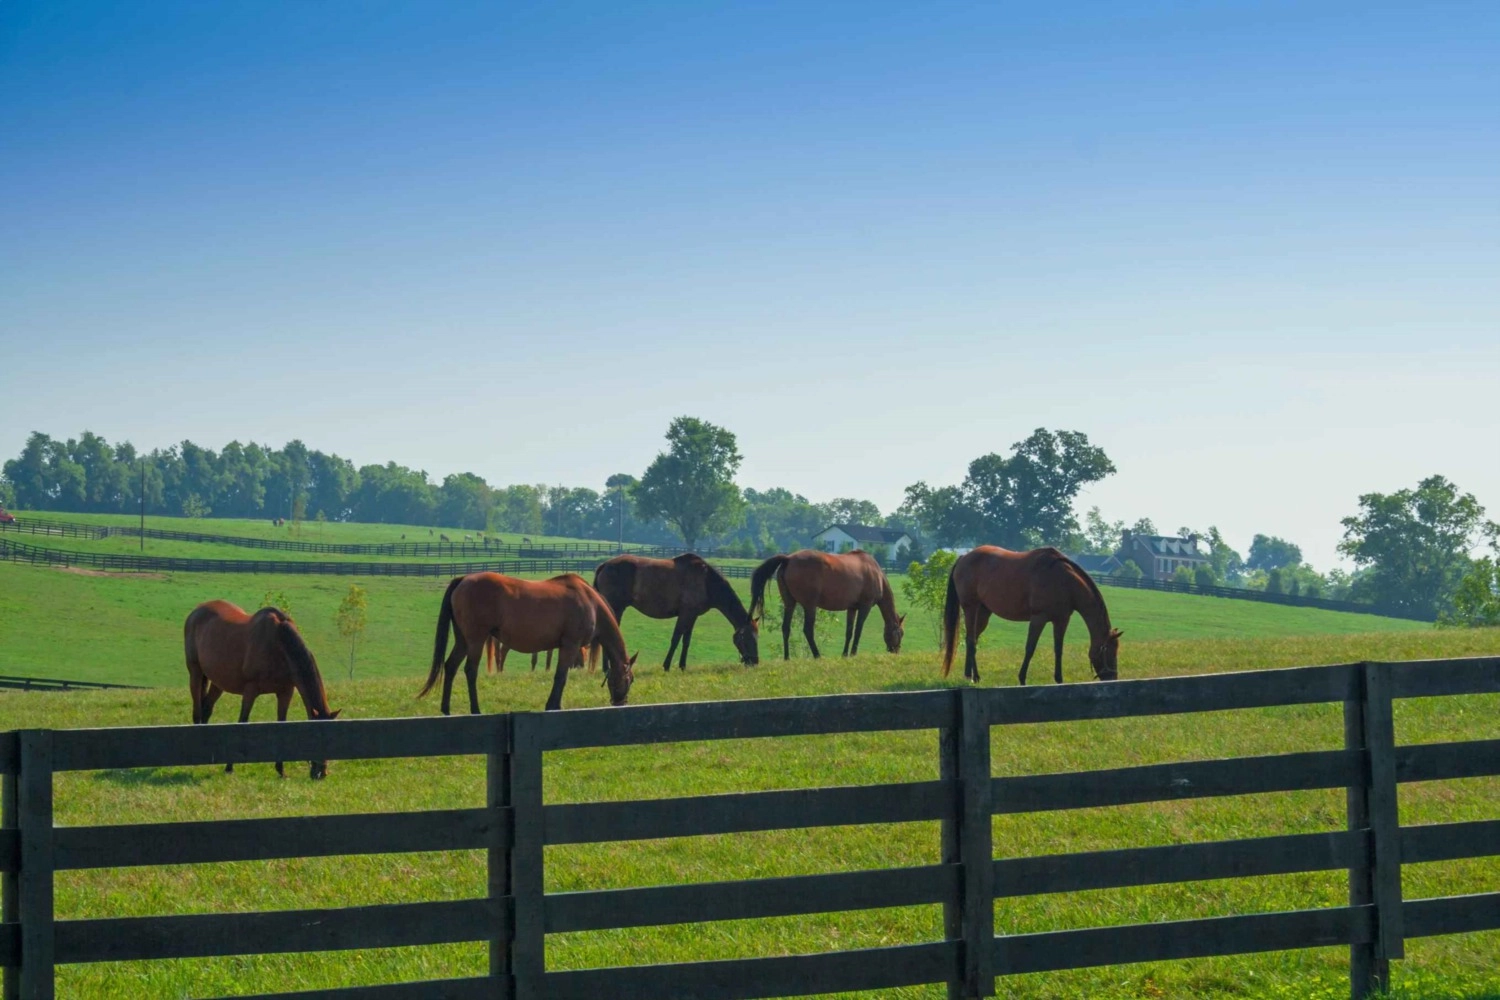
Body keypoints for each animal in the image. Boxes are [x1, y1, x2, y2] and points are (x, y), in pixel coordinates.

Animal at [183, 601, 341, 779]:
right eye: (314, 737)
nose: (320, 773)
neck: (278, 644)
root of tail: (197, 610)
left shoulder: (286, 692)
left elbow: (282, 724)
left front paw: (281, 770)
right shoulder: (250, 690)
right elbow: (242, 722)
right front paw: (229, 767)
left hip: (218, 682)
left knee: (207, 708)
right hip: (195, 673)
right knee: (197, 711)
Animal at [419, 572, 636, 712]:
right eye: (631, 679)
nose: (620, 703)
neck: (591, 602)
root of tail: (463, 579)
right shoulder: (570, 645)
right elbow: (561, 676)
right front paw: (553, 706)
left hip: (463, 641)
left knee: (450, 666)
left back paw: (446, 709)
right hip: (475, 640)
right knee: (470, 671)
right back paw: (476, 709)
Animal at [593, 553, 759, 672]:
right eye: (748, 638)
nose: (755, 662)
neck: (706, 581)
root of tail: (604, 565)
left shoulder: (692, 616)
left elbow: (686, 641)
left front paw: (682, 666)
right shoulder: (685, 614)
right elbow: (676, 639)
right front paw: (666, 666)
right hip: (616, 608)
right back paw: (607, 668)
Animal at [749, 550, 904, 660]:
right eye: (901, 633)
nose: (896, 651)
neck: (876, 574)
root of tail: (788, 559)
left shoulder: (852, 608)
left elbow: (849, 632)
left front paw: (845, 654)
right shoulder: (864, 607)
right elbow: (858, 631)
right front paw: (853, 653)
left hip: (790, 603)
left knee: (786, 628)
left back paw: (787, 658)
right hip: (810, 606)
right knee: (808, 630)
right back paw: (817, 655)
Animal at [941, 546, 1122, 685]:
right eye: (1110, 651)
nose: (1113, 678)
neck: (1064, 580)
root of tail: (963, 557)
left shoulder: (1061, 620)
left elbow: (1059, 650)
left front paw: (1059, 679)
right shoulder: (1038, 619)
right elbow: (1030, 648)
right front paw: (1022, 678)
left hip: (984, 612)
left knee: (973, 640)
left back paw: (971, 675)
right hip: (971, 608)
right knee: (971, 641)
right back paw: (972, 677)